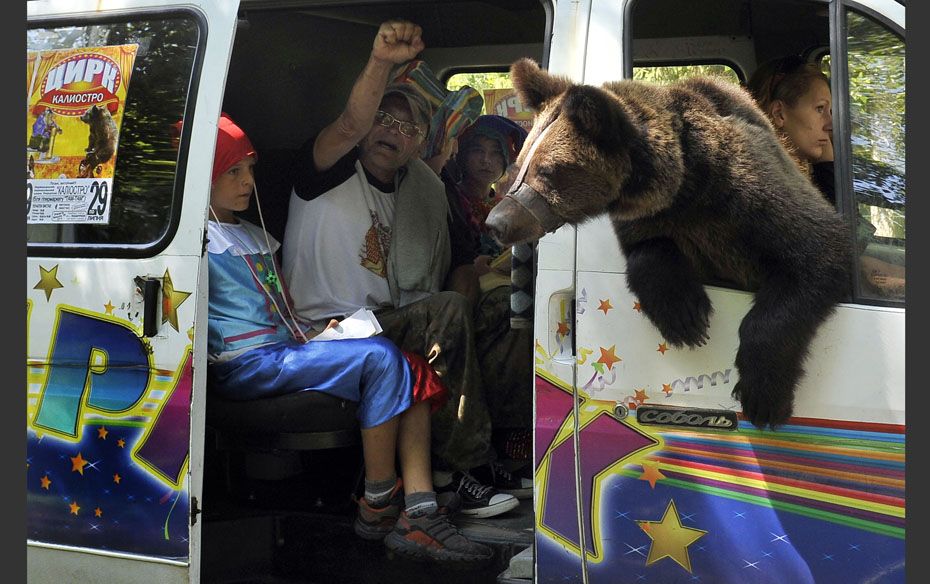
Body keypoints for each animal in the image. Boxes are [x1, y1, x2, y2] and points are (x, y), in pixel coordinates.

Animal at [482, 59, 852, 428]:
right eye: (521, 164)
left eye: (547, 170)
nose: (496, 222)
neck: (682, 183)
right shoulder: (657, 219)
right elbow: (648, 252)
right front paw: (685, 316)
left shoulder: (747, 195)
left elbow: (816, 251)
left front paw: (764, 396)